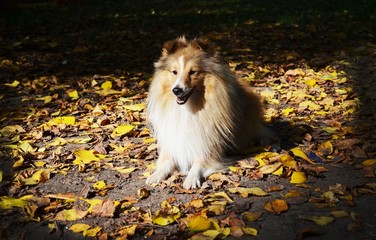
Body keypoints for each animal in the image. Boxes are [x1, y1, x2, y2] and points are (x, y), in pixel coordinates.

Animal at [145, 36, 268, 189]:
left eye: (193, 72)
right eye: (174, 72)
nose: (176, 90)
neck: (188, 109)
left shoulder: (208, 145)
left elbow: (199, 162)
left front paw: (191, 178)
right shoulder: (173, 142)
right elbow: (166, 161)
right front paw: (156, 175)